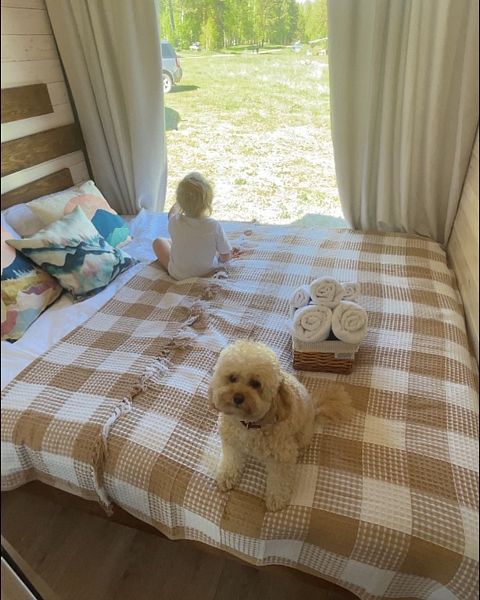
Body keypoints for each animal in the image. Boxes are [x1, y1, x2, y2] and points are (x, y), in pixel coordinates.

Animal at [208, 340, 353, 511]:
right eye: (232, 378)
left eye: (256, 384)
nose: (237, 397)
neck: (249, 425)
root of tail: (314, 408)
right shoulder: (232, 444)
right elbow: (231, 461)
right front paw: (227, 476)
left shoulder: (282, 457)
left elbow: (279, 480)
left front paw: (277, 498)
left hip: (303, 433)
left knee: (303, 443)